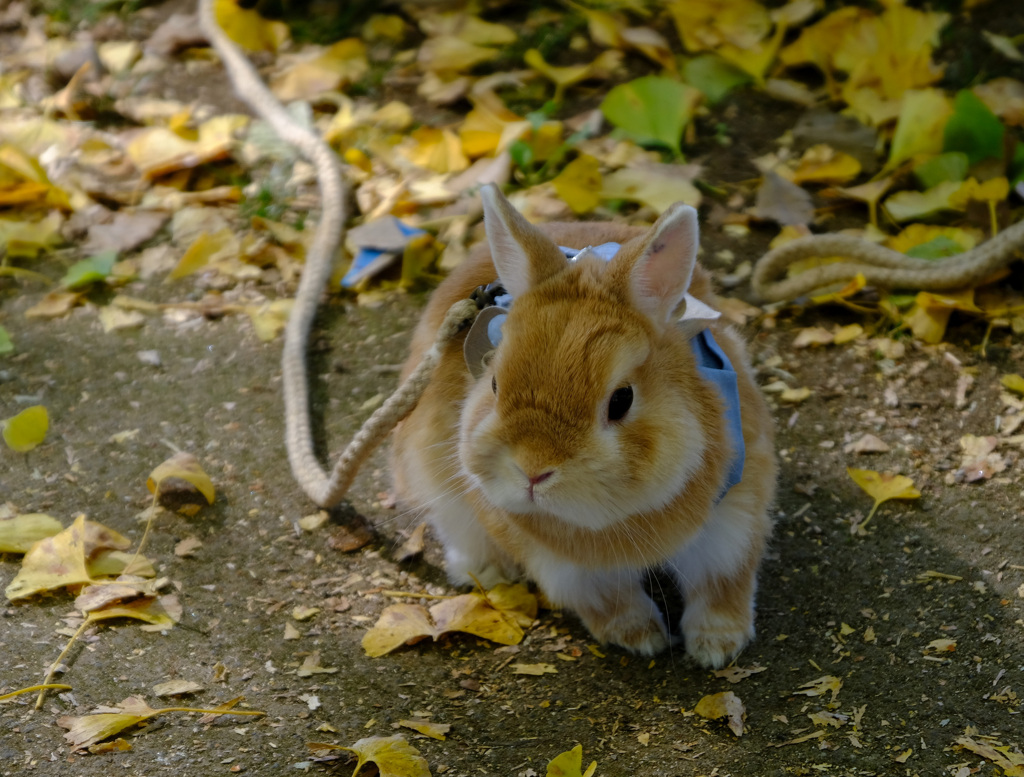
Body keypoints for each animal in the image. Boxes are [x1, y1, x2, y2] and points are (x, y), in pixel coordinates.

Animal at [391, 184, 774, 667]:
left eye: (621, 400)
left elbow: (723, 582)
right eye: (493, 383)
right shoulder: (566, 568)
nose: (533, 471)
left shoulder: (734, 515)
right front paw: (641, 637)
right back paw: (487, 570)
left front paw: (718, 646)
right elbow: (605, 599)